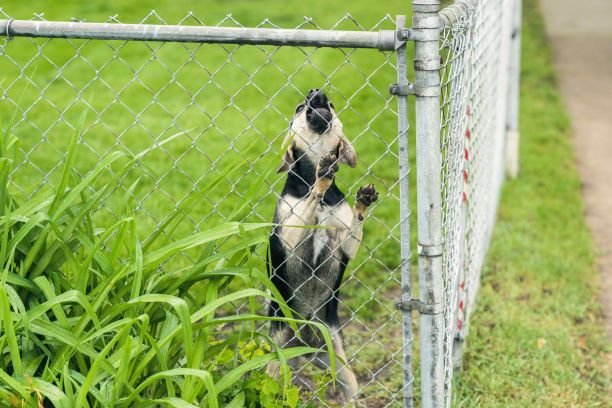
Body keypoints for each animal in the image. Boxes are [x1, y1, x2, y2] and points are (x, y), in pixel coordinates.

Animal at [268, 88, 378, 402]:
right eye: (298, 107)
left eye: (331, 104)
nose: (316, 91)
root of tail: (306, 345)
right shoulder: (291, 237)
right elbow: (311, 199)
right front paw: (322, 177)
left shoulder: (345, 246)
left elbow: (354, 224)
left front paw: (362, 202)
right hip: (274, 360)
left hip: (342, 368)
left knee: (350, 391)